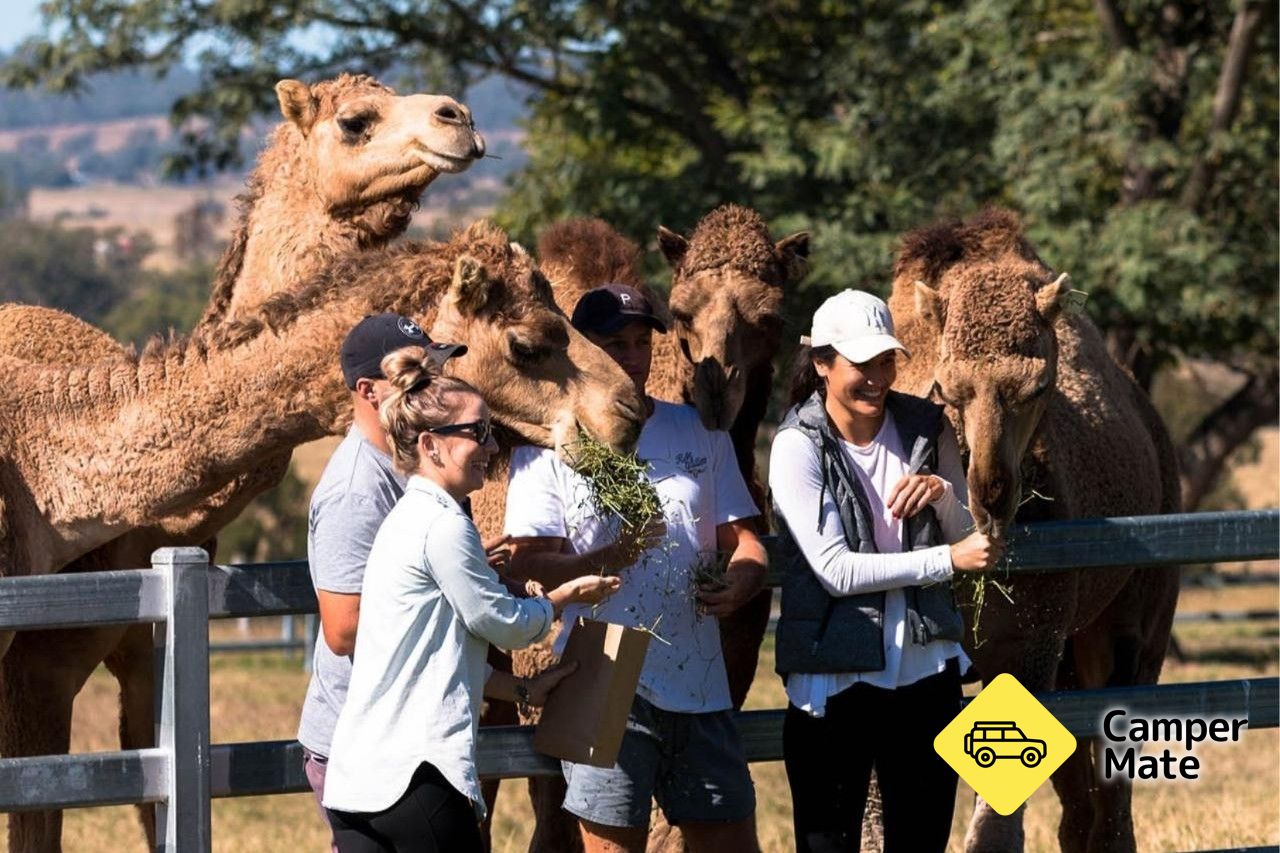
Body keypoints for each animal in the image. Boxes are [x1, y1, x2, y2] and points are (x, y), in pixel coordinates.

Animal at [0, 73, 488, 852]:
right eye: (355, 120)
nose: (459, 118)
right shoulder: (36, 667)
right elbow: (40, 804)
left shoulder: (149, 652)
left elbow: (161, 790)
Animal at [887, 208, 1181, 853]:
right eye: (946, 388)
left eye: (1038, 387)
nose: (992, 495)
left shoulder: (1030, 643)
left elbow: (995, 826)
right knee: (1081, 804)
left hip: (1137, 622)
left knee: (1112, 790)